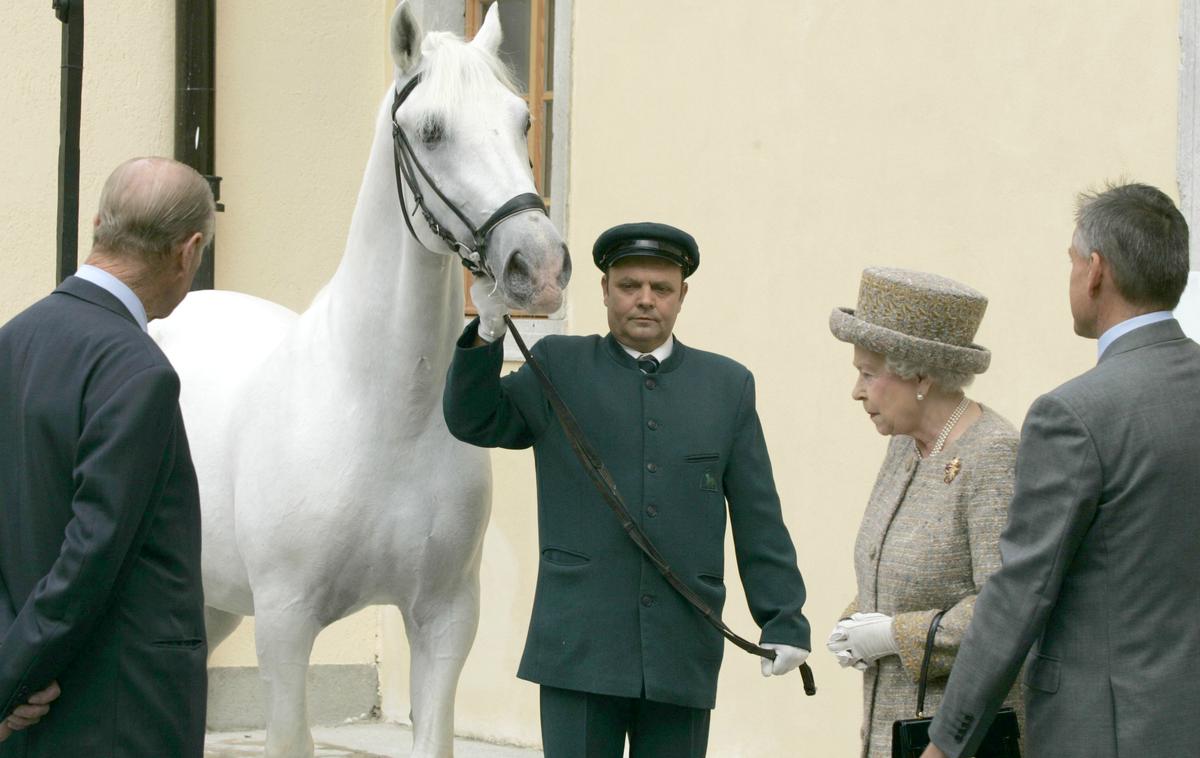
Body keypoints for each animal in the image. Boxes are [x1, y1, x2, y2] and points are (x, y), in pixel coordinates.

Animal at [150, 2, 566, 753]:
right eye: (431, 130)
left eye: (523, 120)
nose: (539, 266)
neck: (382, 411)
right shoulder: (285, 626)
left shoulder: (445, 619)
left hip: (208, 601)